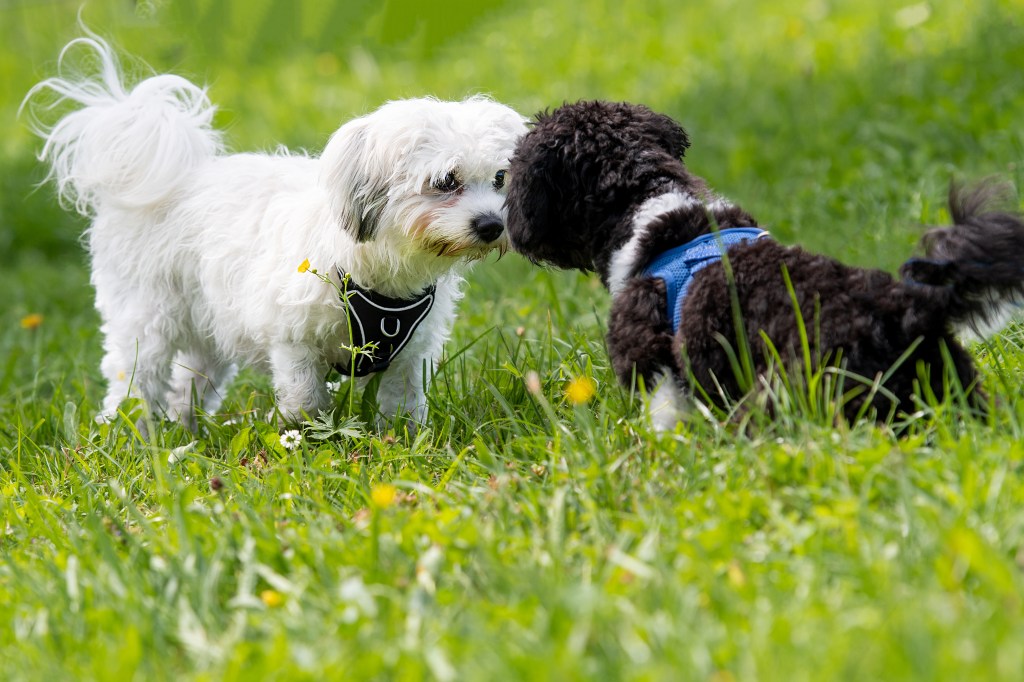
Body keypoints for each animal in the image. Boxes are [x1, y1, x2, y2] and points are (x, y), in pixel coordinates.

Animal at [25, 35, 528, 425]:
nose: (491, 225)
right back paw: (132, 432)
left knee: (188, 385)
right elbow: (306, 399)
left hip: (209, 327)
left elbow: (401, 404)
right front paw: (301, 437)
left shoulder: (410, 353)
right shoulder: (293, 339)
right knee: (134, 379)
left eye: (500, 178)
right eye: (445, 182)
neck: (378, 265)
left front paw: (402, 442)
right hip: (146, 319)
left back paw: (185, 430)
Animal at [507, 100, 1024, 428]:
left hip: (793, 393)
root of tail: (909, 308)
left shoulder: (656, 366)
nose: (513, 229)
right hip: (950, 390)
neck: (650, 206)